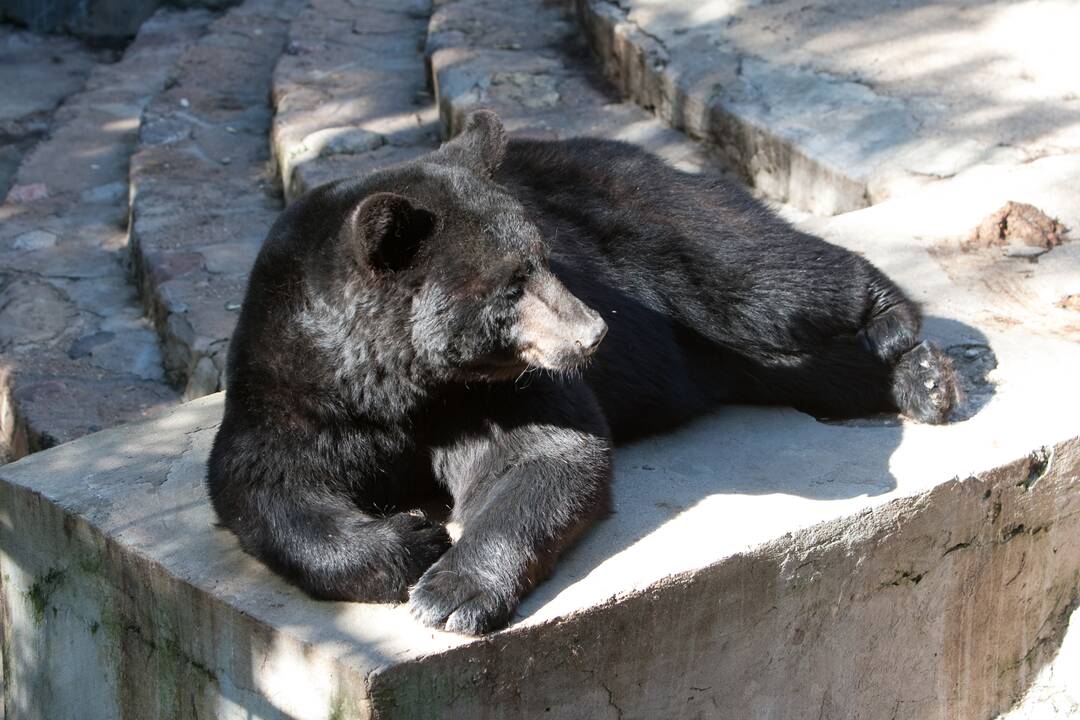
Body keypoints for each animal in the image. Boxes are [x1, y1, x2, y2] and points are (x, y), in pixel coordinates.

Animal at [206, 110, 959, 634]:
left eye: (542, 255)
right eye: (511, 284)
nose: (594, 331)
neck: (406, 381)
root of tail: (644, 152)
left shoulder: (493, 391)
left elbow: (544, 454)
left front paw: (451, 591)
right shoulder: (297, 386)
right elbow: (268, 487)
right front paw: (408, 539)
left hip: (664, 229)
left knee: (773, 280)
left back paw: (906, 344)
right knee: (793, 361)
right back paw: (910, 378)